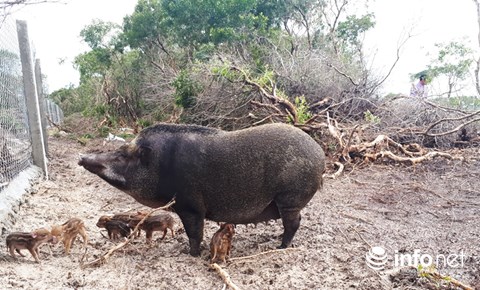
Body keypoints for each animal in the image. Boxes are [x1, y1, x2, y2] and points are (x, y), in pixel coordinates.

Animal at [79, 122, 326, 256]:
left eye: (122, 155)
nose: (81, 157)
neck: (160, 165)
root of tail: (320, 153)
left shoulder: (190, 205)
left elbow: (194, 233)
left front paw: (191, 254)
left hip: (290, 197)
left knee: (295, 222)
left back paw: (281, 247)